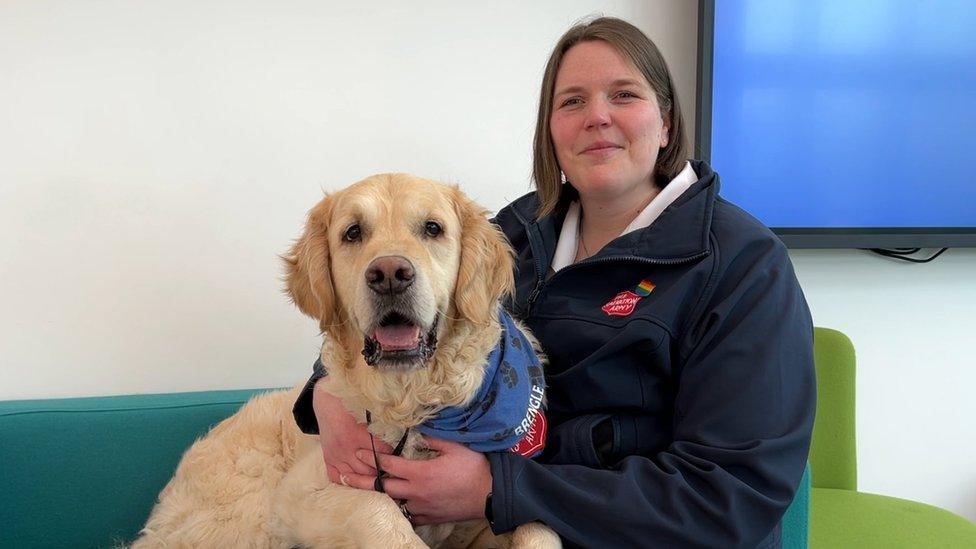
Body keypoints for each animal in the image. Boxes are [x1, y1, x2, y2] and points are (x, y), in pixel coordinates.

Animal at [132, 174, 556, 548]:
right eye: (353, 233)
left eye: (432, 228)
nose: (390, 274)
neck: (411, 403)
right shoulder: (305, 491)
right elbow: (379, 512)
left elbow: (538, 525)